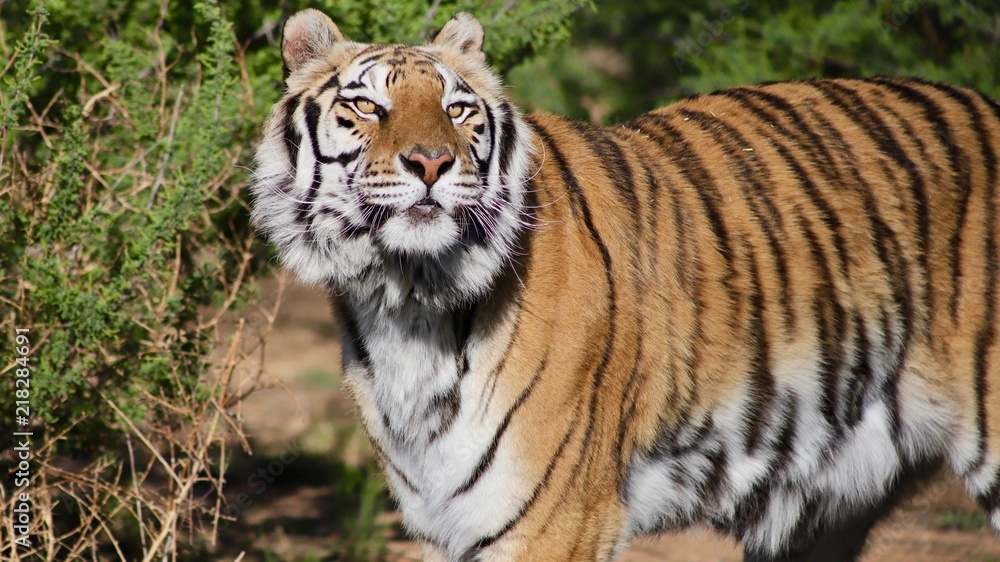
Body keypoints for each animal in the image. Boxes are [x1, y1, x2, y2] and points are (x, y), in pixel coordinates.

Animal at [250, 8, 1000, 562]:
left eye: (457, 110)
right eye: (366, 107)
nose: (432, 162)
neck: (408, 297)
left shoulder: (550, 521)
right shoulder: (443, 519)